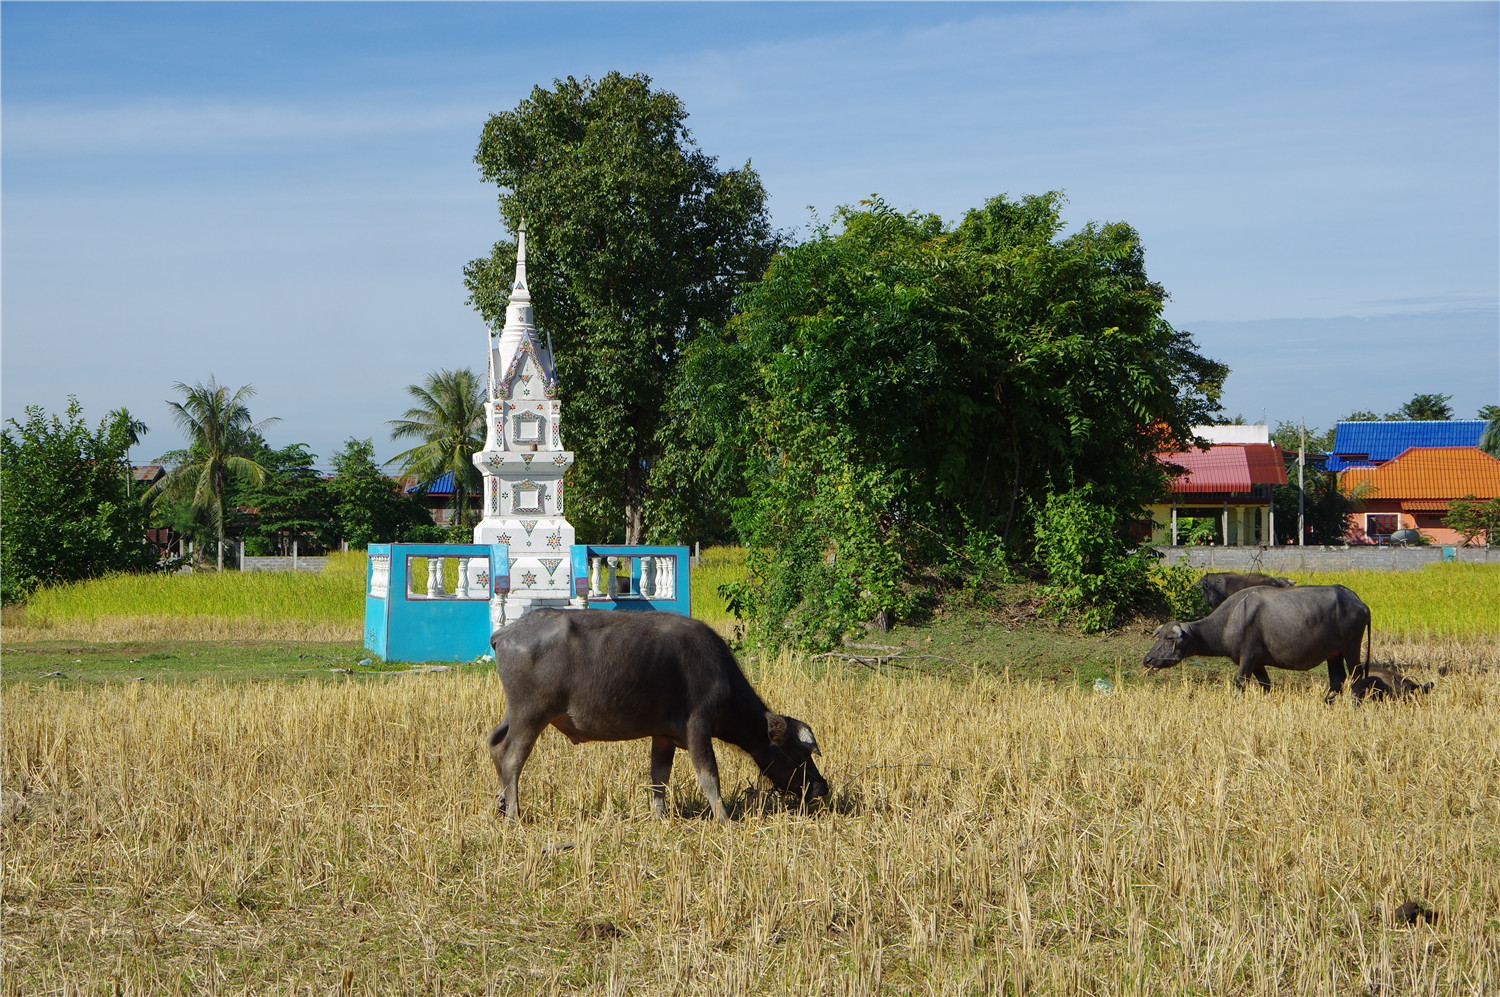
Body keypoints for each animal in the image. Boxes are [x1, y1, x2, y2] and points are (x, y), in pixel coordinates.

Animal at [486, 605, 828, 821]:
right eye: (799, 754)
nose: (821, 788)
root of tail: (504, 634)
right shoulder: (698, 727)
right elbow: (709, 776)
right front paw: (725, 819)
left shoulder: (663, 736)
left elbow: (658, 777)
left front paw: (659, 815)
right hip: (531, 714)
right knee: (510, 756)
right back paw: (515, 813)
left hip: (513, 714)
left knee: (494, 744)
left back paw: (502, 804)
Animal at [1146, 584, 1374, 698]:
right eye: (1159, 636)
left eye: (1169, 638)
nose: (1147, 660)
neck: (1230, 620)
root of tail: (1360, 603)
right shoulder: (1258, 663)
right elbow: (1266, 686)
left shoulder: (1247, 658)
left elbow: (1240, 684)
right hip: (1333, 653)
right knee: (1337, 679)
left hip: (1351, 648)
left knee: (1355, 677)